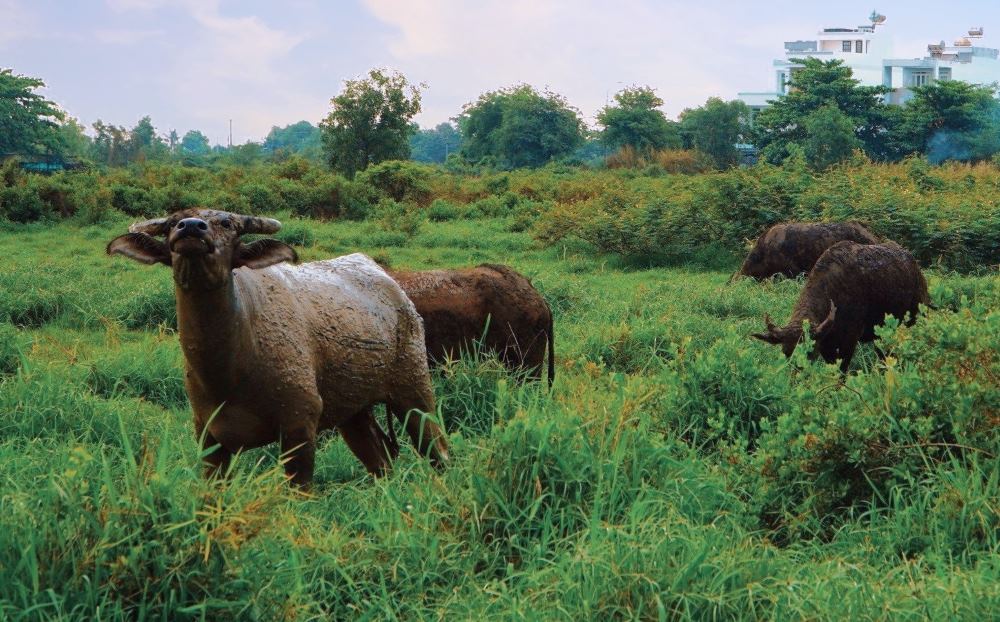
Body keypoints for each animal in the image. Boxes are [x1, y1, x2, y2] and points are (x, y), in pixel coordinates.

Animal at [107, 212, 448, 490]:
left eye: (226, 223)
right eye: (173, 223)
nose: (191, 228)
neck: (230, 371)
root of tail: (395, 288)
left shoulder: (299, 427)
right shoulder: (209, 440)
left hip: (414, 391)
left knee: (437, 450)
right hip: (354, 412)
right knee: (380, 461)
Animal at [752, 241, 932, 372]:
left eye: (810, 352)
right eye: (786, 353)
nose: (797, 374)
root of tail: (914, 266)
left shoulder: (848, 341)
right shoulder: (827, 343)